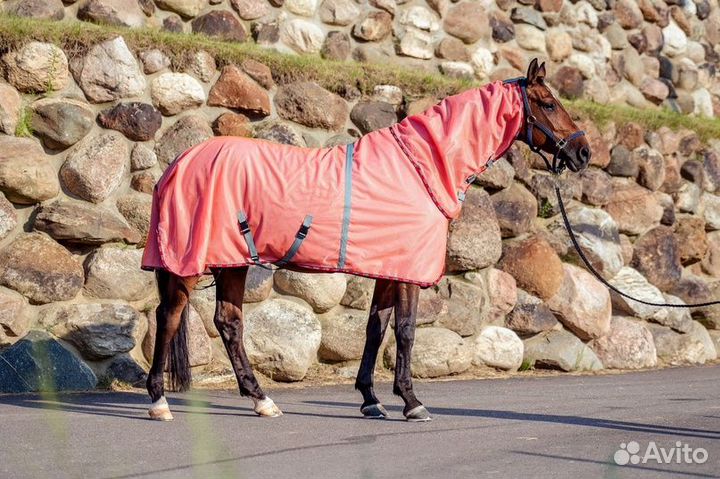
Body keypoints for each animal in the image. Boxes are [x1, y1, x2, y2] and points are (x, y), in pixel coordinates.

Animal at [141, 59, 592, 422]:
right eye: (548, 104)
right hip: (190, 263)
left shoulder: (388, 268)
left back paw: (262, 400)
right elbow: (405, 330)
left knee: (229, 323)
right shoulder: (408, 272)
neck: (417, 169)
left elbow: (377, 327)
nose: (584, 153)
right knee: (170, 316)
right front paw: (412, 402)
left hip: (232, 262)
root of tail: (178, 162)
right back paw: (159, 402)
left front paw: (371, 400)